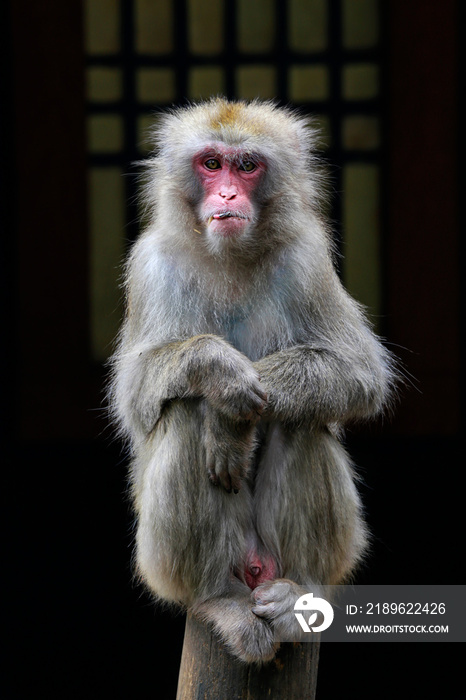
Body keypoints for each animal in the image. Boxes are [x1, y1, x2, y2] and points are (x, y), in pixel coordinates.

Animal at [108, 97, 394, 660]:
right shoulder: (151, 265)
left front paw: (232, 418)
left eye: (246, 166)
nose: (226, 194)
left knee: (302, 416)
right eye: (211, 164)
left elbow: (359, 373)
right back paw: (219, 597)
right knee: (183, 411)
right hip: (163, 566)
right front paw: (222, 377)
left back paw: (296, 594)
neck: (230, 256)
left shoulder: (308, 258)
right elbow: (135, 397)